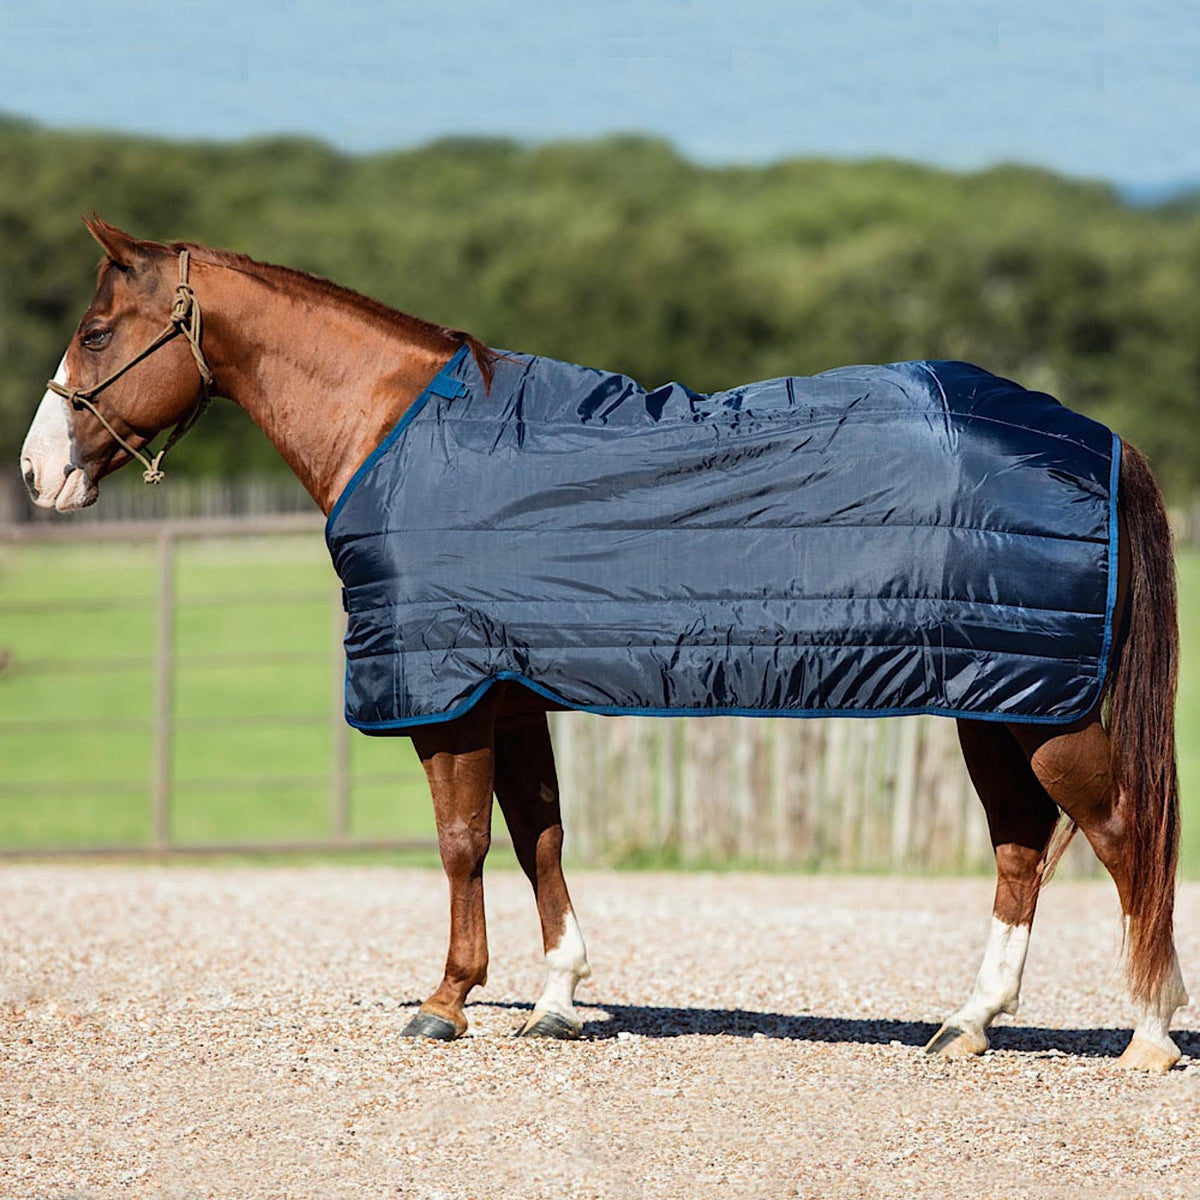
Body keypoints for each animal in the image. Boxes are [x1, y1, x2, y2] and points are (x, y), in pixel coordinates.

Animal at [21, 220, 1190, 1075]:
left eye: (95, 332)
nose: (39, 474)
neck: (401, 432)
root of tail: (1101, 440)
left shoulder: (448, 693)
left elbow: (462, 842)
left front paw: (448, 1000)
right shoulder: (509, 687)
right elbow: (539, 834)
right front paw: (555, 999)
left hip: (1044, 709)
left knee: (1123, 834)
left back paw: (1148, 1035)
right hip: (1000, 697)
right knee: (1023, 847)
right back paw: (969, 1023)